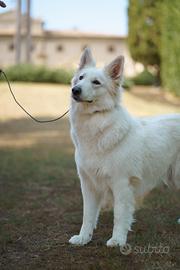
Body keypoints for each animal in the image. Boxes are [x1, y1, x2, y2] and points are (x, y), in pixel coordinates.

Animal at [68, 48, 179, 247]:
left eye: (96, 82)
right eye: (80, 78)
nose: (75, 90)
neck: (95, 120)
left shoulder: (121, 183)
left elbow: (119, 214)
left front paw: (118, 240)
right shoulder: (88, 184)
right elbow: (87, 215)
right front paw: (83, 238)